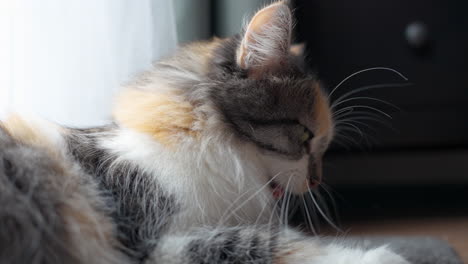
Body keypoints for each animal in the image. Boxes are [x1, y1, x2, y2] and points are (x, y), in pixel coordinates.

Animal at [0, 2, 410, 264]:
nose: (316, 181)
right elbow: (262, 244)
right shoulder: (152, 239)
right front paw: (383, 256)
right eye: (306, 137)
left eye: (324, 146)